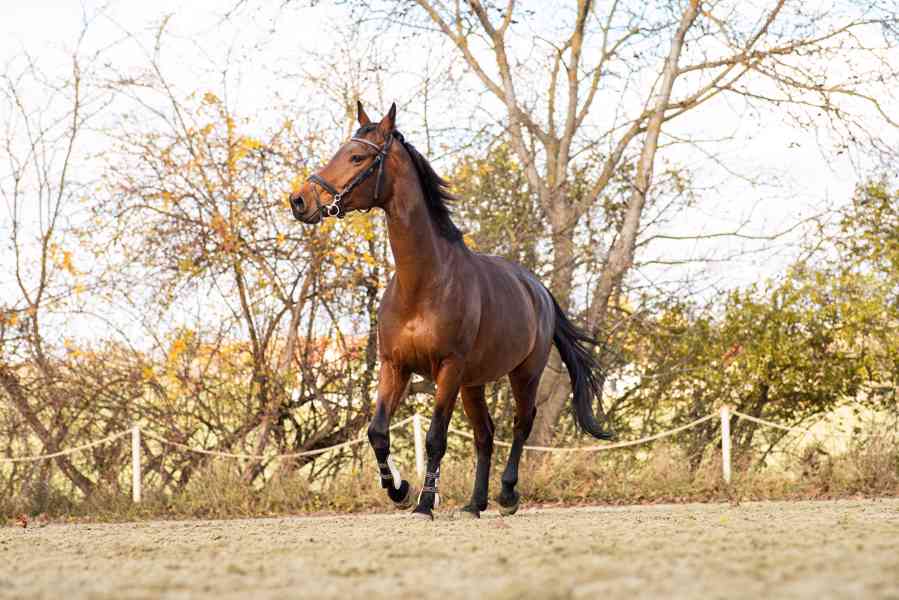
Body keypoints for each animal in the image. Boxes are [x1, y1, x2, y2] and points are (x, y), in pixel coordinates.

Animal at [288, 103, 612, 520]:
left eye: (357, 157)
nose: (299, 200)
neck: (423, 283)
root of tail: (538, 289)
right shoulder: (395, 366)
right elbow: (378, 433)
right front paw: (400, 490)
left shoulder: (448, 369)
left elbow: (435, 438)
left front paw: (425, 503)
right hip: (474, 383)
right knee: (485, 435)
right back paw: (474, 504)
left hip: (523, 374)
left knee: (521, 425)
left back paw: (507, 495)